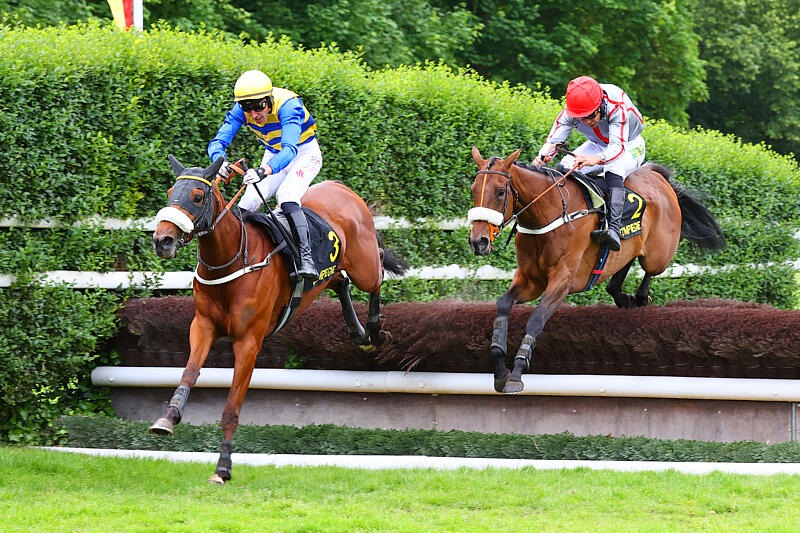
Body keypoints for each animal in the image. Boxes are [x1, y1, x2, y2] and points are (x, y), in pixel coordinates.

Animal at [149, 155, 407, 484]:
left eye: (197, 196)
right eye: (171, 192)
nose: (163, 240)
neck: (233, 260)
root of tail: (341, 188)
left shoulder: (249, 341)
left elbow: (232, 407)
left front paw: (223, 468)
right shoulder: (203, 326)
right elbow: (189, 373)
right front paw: (167, 417)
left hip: (364, 264)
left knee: (377, 270)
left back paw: (373, 332)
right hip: (330, 274)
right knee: (340, 282)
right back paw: (359, 333)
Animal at [468, 146, 725, 394]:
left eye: (500, 191)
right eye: (473, 190)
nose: (478, 241)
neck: (548, 214)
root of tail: (656, 176)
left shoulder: (562, 280)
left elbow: (536, 320)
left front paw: (517, 373)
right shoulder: (531, 281)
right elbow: (503, 305)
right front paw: (500, 369)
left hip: (658, 255)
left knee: (649, 268)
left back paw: (640, 296)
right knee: (624, 262)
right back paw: (622, 295)